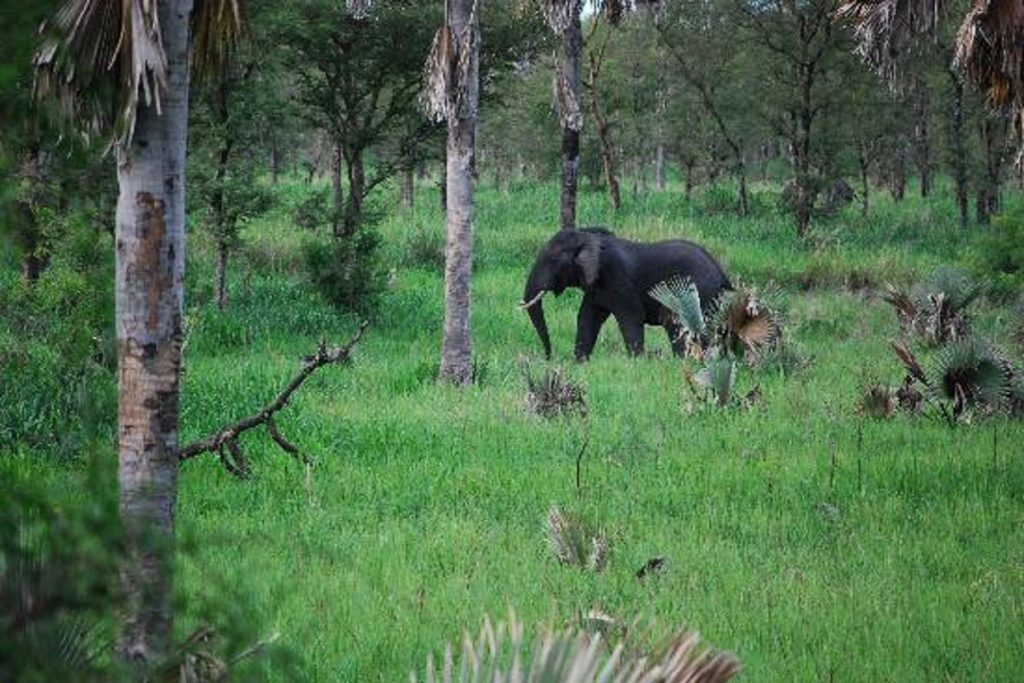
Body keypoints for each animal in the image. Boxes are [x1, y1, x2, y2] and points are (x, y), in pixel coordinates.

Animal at [524, 227, 733, 360]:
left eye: (553, 260)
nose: (548, 357)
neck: (589, 236)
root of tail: (723, 274)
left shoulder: (617, 279)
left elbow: (631, 317)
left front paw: (637, 361)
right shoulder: (595, 284)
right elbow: (587, 318)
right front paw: (580, 361)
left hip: (697, 292)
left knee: (675, 321)